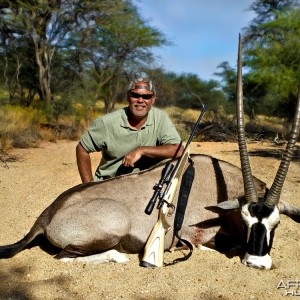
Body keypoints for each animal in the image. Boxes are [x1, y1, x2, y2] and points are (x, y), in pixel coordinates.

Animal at [0, 37, 300, 270]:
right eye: (246, 220)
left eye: (276, 224)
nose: (257, 263)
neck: (220, 186)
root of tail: (45, 217)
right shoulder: (196, 233)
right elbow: (216, 245)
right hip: (108, 229)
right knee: (65, 257)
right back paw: (118, 256)